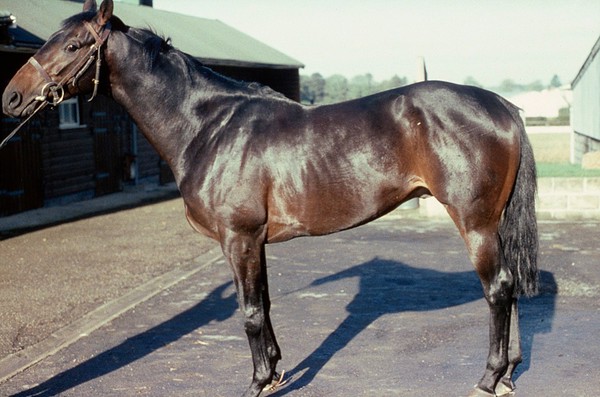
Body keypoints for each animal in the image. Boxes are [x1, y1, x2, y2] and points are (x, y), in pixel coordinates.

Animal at [1, 1, 540, 394]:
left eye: (73, 44)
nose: (11, 97)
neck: (208, 126)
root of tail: (503, 106)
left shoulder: (238, 238)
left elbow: (250, 314)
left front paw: (258, 382)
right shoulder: (253, 241)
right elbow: (262, 305)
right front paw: (276, 373)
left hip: (475, 223)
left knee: (498, 290)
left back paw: (488, 378)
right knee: (510, 287)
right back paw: (508, 374)